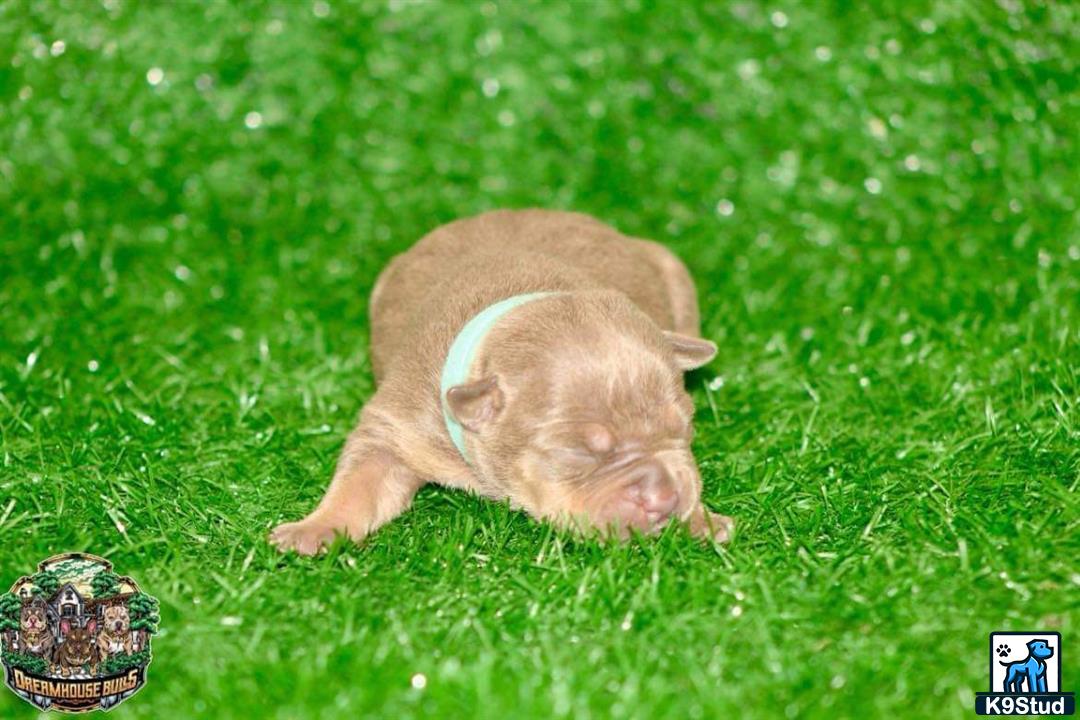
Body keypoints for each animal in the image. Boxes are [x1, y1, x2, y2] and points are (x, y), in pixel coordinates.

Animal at [267, 209, 734, 557]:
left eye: (685, 429)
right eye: (578, 452)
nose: (663, 498)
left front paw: (701, 520)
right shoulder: (398, 424)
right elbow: (359, 483)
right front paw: (314, 528)